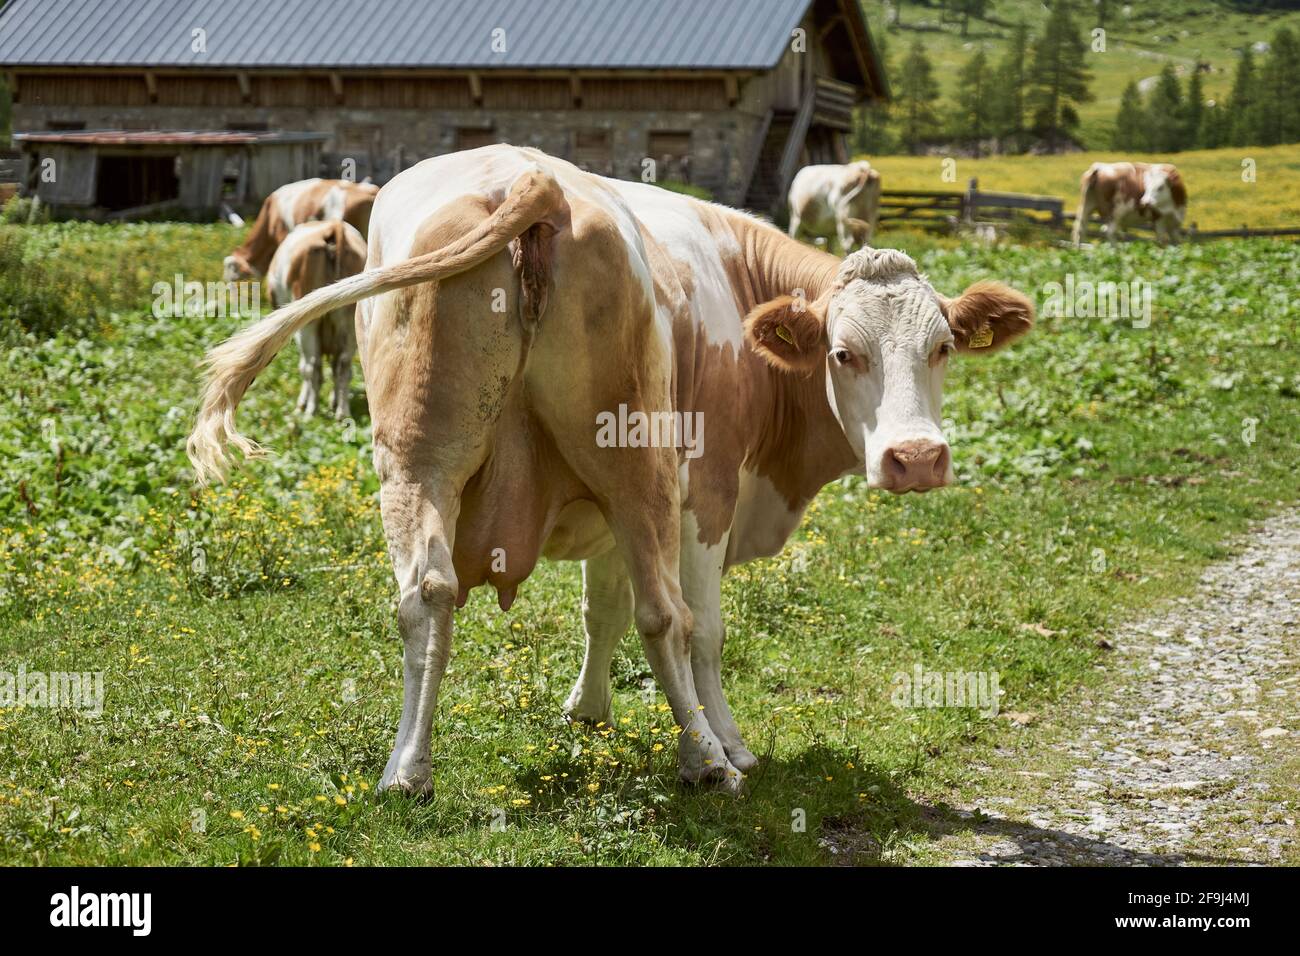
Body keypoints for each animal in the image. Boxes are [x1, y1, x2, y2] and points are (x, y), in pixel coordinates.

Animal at [263, 222, 366, 421]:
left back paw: (311, 411)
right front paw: (333, 401)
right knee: (343, 366)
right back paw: (342, 413)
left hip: (308, 324)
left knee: (313, 366)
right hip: (348, 320)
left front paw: (302, 404)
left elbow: (304, 367)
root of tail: (333, 226)